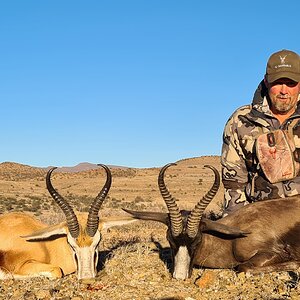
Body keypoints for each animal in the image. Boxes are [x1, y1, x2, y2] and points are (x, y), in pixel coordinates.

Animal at [123, 163, 300, 280]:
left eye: (197, 240)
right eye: (169, 239)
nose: (179, 276)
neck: (230, 240)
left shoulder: (271, 253)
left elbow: (243, 267)